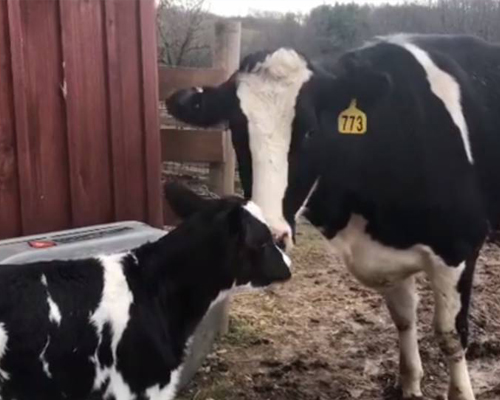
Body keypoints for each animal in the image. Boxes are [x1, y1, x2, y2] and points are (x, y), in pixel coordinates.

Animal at [167, 35, 500, 400]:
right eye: (238, 131)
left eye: (311, 131)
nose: (269, 235)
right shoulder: (387, 257)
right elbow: (404, 318)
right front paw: (410, 384)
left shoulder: (459, 246)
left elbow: (450, 335)